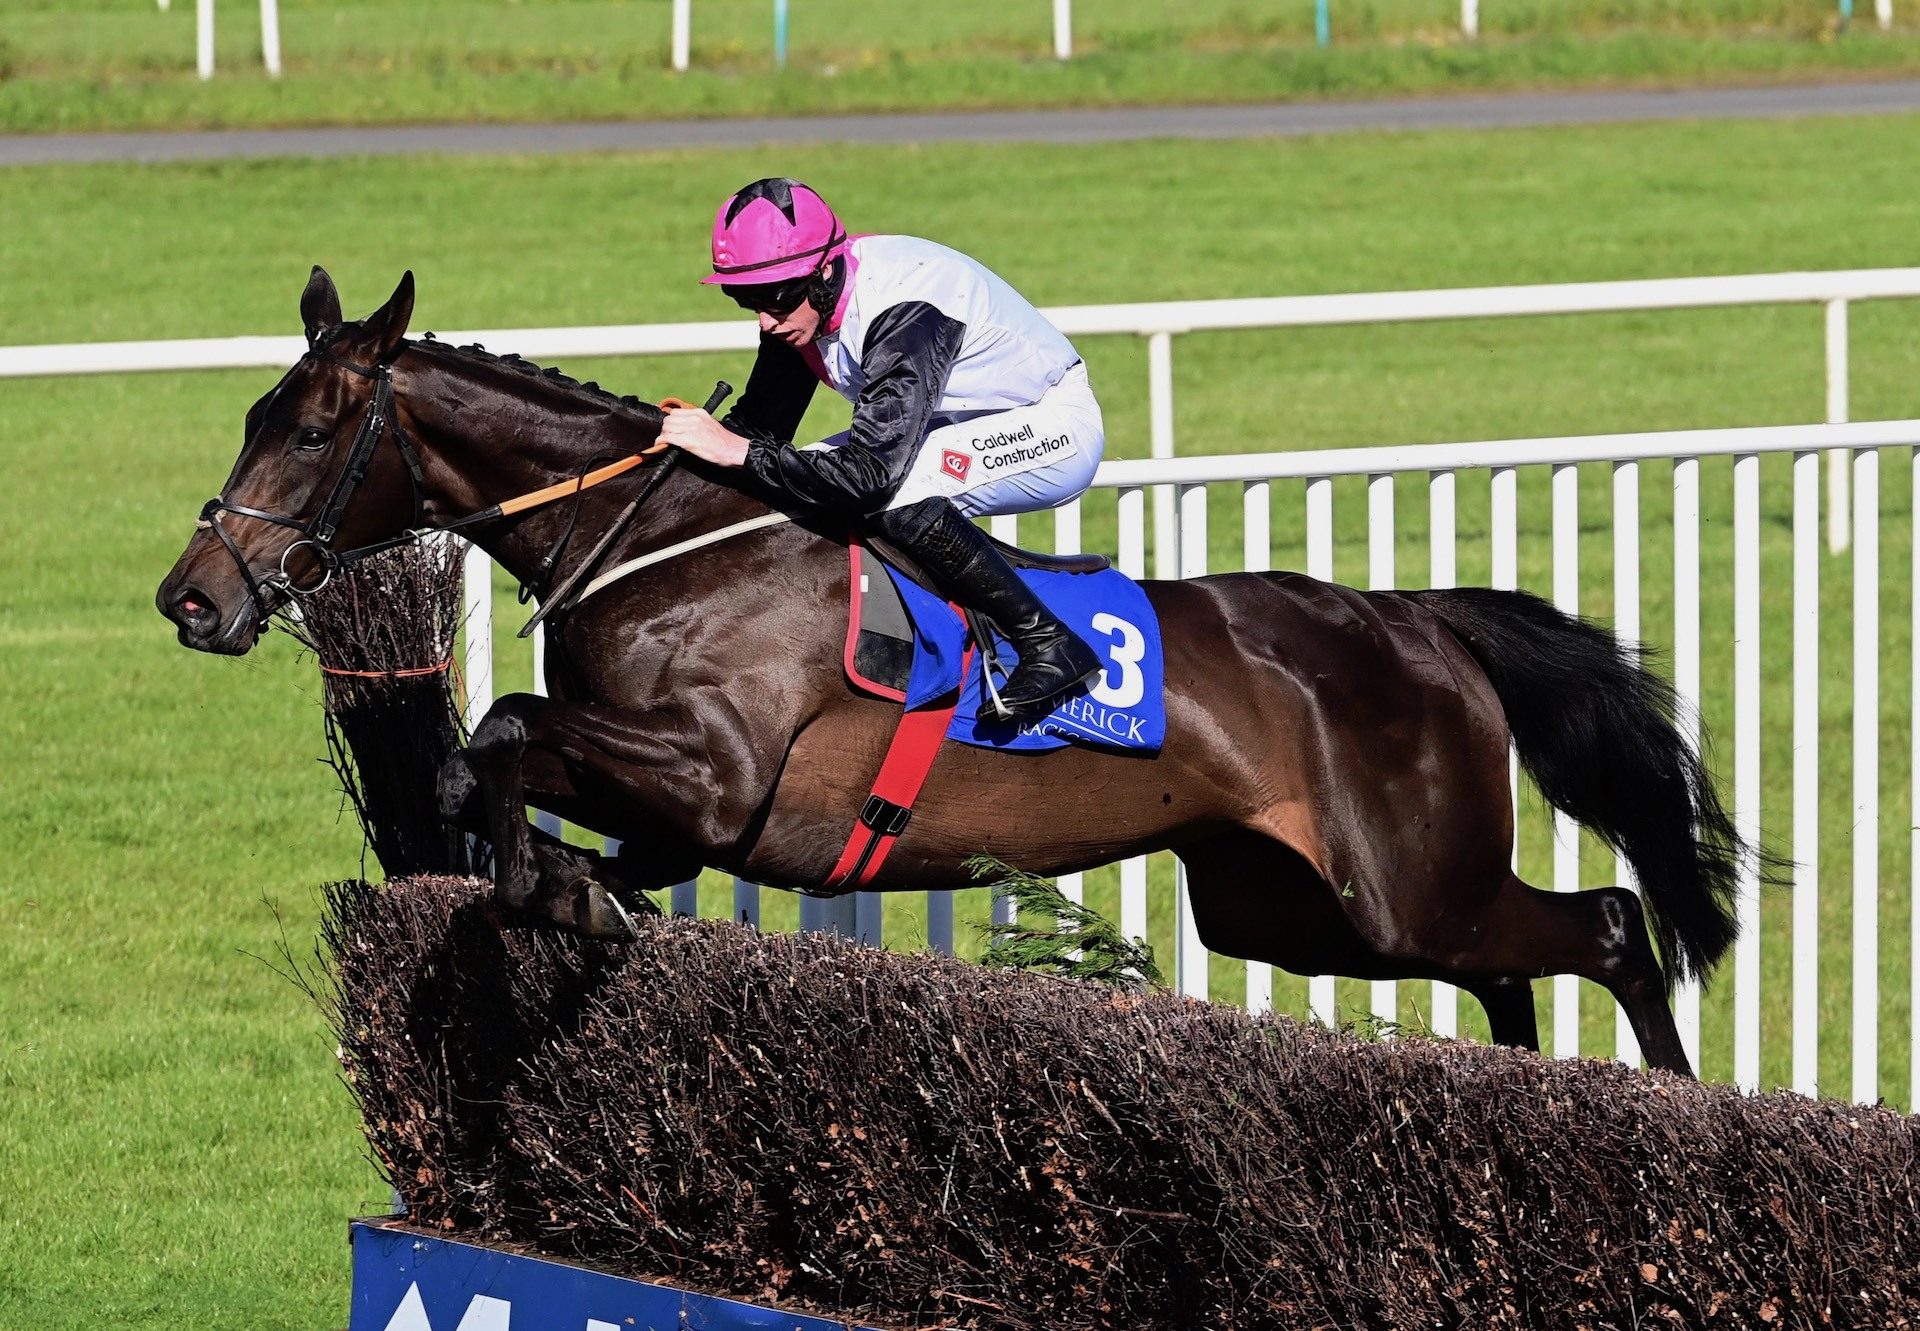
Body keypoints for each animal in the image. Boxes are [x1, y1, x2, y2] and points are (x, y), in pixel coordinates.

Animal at [161, 265, 1758, 1075]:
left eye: (312, 427)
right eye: (252, 415)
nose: (193, 597)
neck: (662, 538)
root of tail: (1417, 624)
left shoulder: (720, 777)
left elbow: (498, 724)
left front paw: (548, 891)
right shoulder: (674, 804)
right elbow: (506, 781)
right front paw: (564, 886)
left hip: (1401, 882)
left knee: (1612, 922)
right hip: (1299, 912)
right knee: (1514, 966)